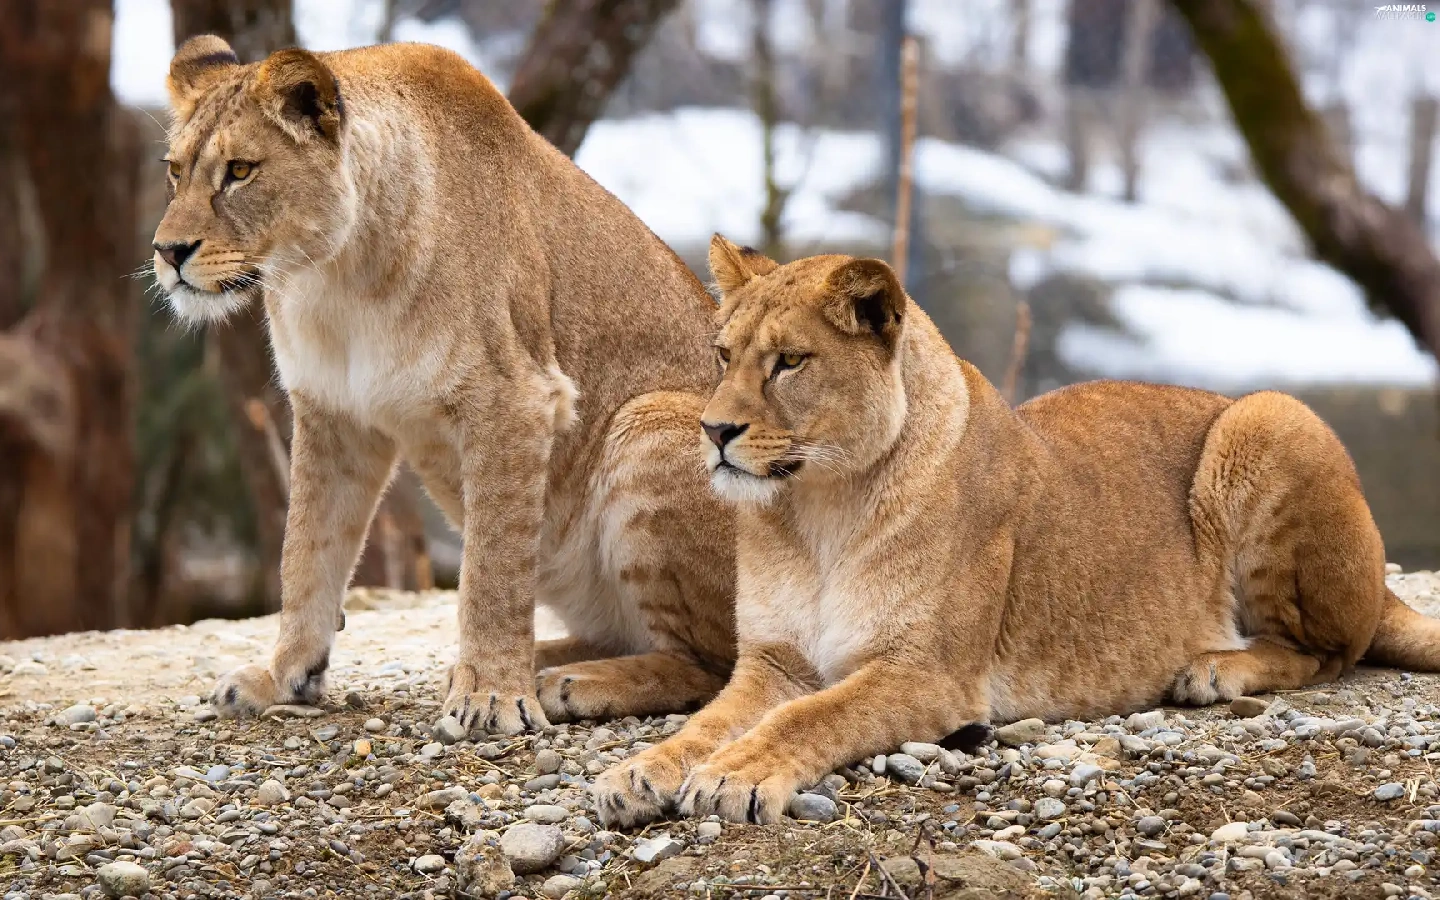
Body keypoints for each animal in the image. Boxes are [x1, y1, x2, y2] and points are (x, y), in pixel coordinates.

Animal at [151, 36, 737, 733]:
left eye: (240, 170)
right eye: (174, 171)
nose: (167, 252)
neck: (335, 277)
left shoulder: (517, 399)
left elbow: (492, 568)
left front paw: (492, 696)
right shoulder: (332, 416)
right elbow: (307, 550)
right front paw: (282, 676)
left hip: (651, 420)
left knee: (712, 664)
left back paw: (567, 683)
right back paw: (522, 662)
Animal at [591, 237, 1440, 827]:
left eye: (790, 361)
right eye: (722, 355)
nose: (713, 431)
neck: (816, 512)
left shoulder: (927, 672)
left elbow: (812, 715)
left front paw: (735, 774)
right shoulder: (773, 661)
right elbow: (707, 721)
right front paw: (641, 772)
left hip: (1270, 415)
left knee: (1330, 650)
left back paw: (1215, 671)